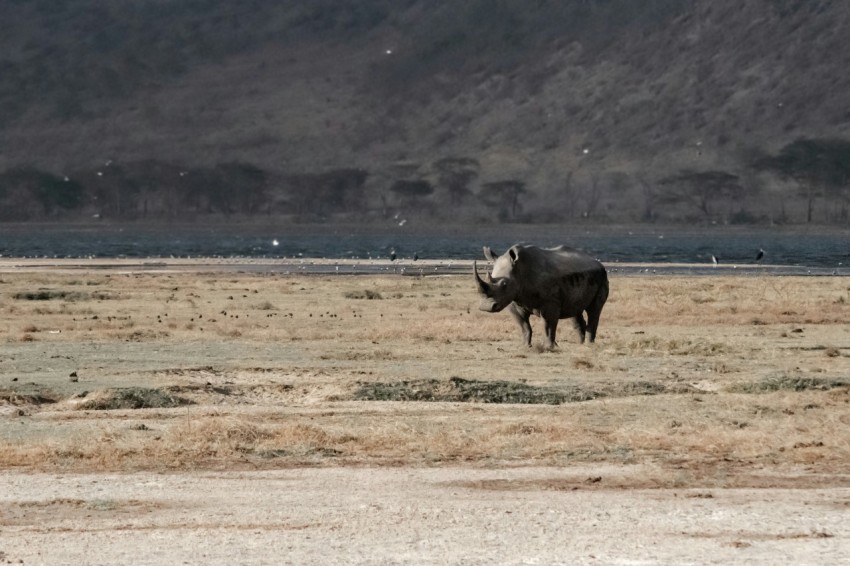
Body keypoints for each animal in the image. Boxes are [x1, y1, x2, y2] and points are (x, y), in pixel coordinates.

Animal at [474, 244, 609, 349]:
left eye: (504, 284)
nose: (486, 307)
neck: (519, 271)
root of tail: (597, 262)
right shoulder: (513, 301)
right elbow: (524, 326)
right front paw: (525, 346)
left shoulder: (550, 303)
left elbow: (548, 326)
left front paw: (549, 347)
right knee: (575, 309)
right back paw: (580, 344)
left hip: (602, 276)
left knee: (594, 310)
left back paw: (589, 345)